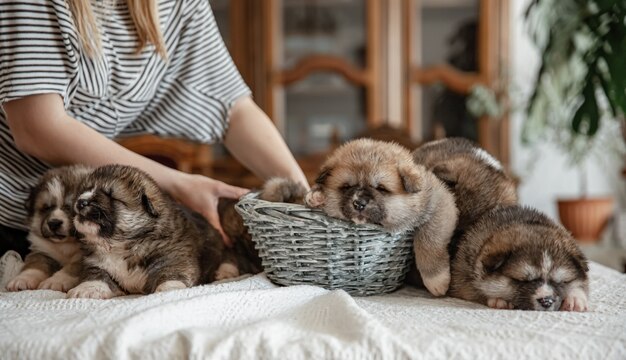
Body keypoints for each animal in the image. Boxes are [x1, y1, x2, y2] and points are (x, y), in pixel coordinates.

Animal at [304, 138, 456, 296]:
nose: (359, 203)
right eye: (346, 187)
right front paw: (317, 196)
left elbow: (428, 240)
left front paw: (436, 280)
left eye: (381, 188)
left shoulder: (439, 203)